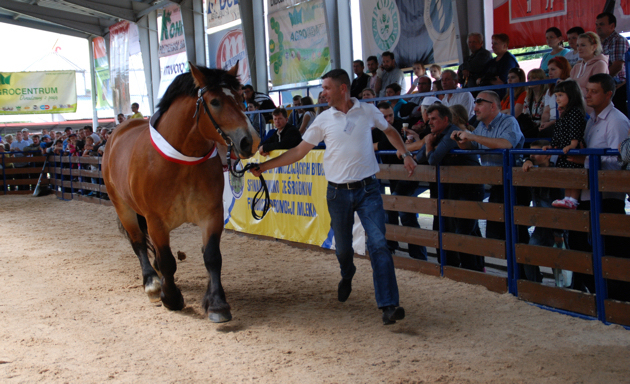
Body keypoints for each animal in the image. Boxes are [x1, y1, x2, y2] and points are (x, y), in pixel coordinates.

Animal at [103, 64, 260, 322]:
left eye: (239, 98)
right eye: (215, 101)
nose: (250, 141)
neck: (182, 163)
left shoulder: (211, 215)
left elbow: (212, 257)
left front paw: (217, 304)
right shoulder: (155, 221)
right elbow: (167, 261)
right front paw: (171, 297)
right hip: (123, 208)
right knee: (138, 243)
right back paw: (152, 283)